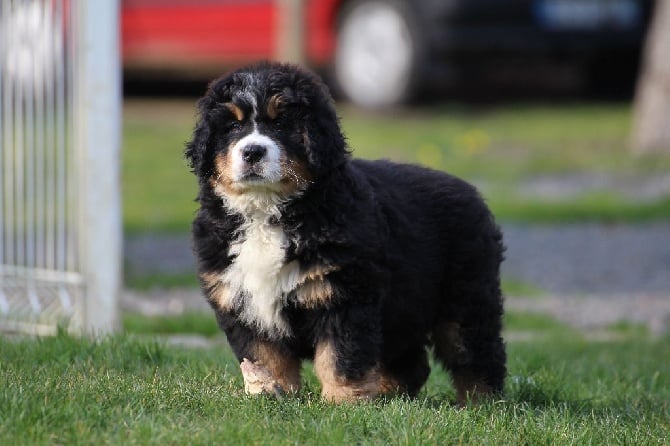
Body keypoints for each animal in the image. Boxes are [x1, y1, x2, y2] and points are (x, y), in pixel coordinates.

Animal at [186, 60, 506, 404]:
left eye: (282, 123)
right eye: (232, 126)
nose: (253, 152)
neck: (266, 211)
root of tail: (469, 190)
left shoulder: (344, 293)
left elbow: (339, 355)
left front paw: (344, 402)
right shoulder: (241, 298)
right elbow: (264, 356)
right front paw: (270, 393)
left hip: (466, 298)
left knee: (476, 352)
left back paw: (479, 401)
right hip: (405, 305)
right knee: (410, 361)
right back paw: (390, 394)